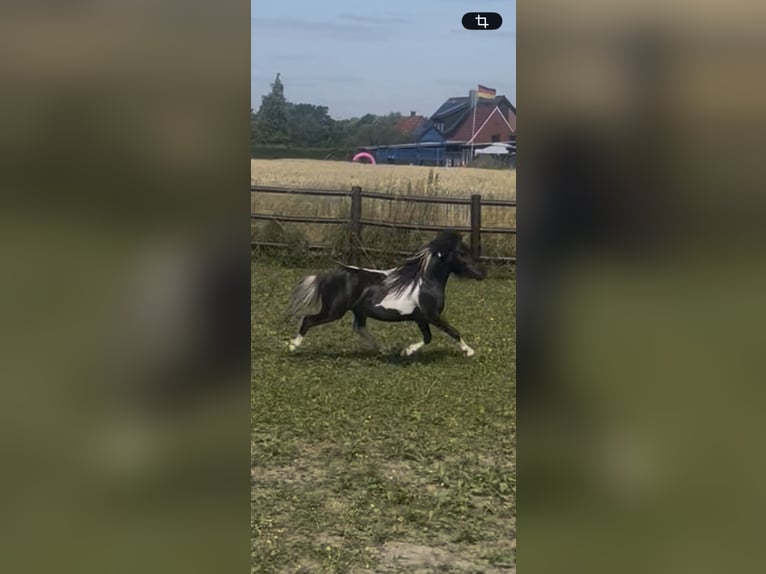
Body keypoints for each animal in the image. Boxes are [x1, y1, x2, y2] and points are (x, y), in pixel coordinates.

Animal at [285, 230, 485, 357]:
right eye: (461, 253)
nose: (482, 274)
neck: (426, 283)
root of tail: (326, 276)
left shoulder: (420, 318)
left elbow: (428, 338)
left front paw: (406, 351)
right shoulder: (431, 315)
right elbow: (452, 331)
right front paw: (469, 351)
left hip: (358, 311)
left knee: (360, 329)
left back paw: (385, 350)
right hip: (333, 311)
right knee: (308, 320)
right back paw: (292, 346)